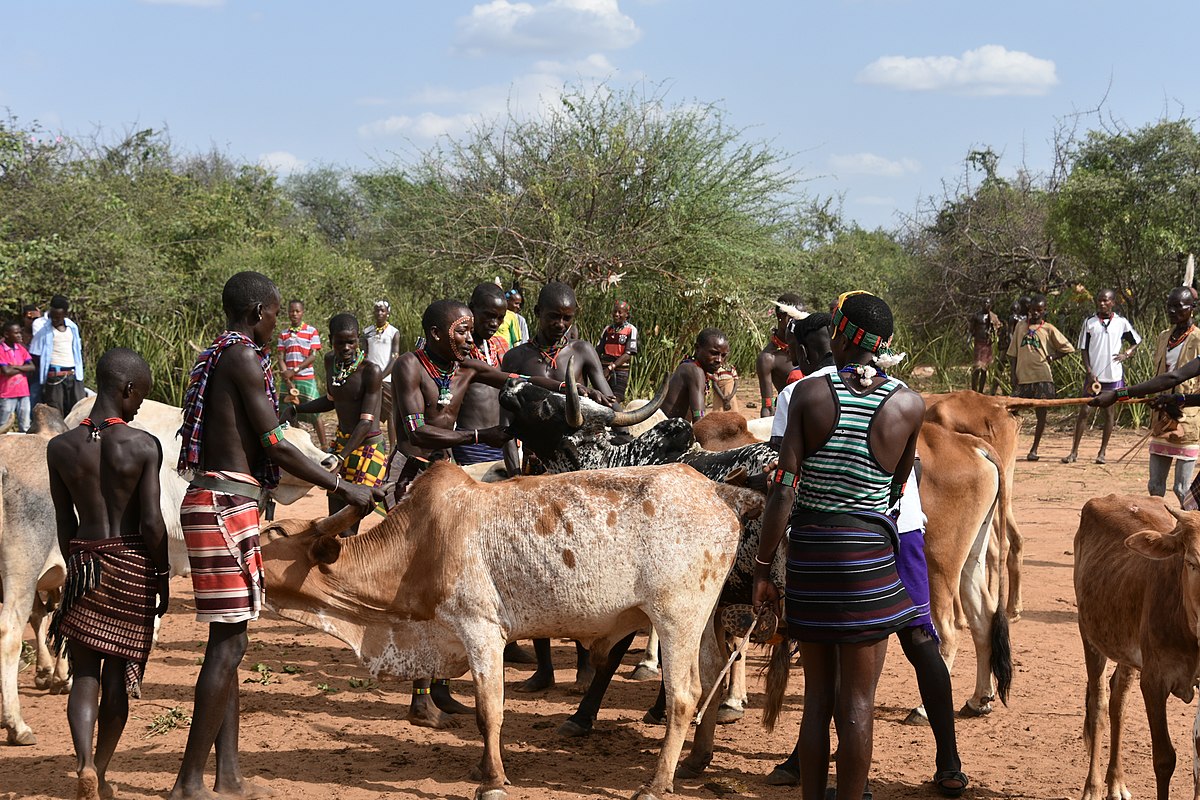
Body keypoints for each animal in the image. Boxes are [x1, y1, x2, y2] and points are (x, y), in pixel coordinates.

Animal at [261, 460, 758, 800]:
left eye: (273, 537)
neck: (421, 544)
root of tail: (716, 491)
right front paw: (483, 770)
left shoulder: (480, 629)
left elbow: (489, 712)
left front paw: (494, 781)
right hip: (705, 617)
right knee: (714, 671)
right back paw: (695, 762)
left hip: (676, 617)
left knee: (684, 695)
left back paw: (656, 784)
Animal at [1075, 494, 1200, 800]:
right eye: (1192, 562)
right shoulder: (1154, 682)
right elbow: (1165, 758)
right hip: (1090, 635)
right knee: (1099, 705)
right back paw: (1093, 787)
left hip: (1128, 654)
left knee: (1118, 702)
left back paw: (1116, 783)